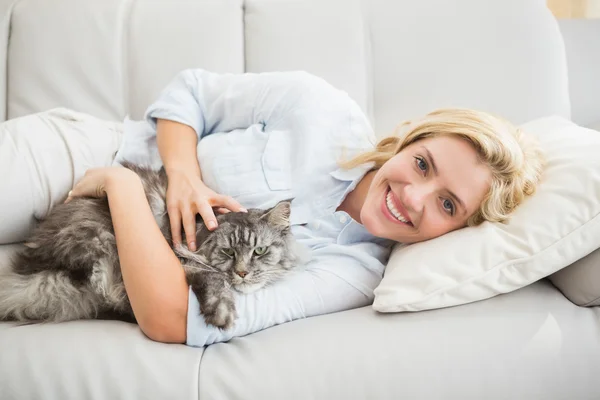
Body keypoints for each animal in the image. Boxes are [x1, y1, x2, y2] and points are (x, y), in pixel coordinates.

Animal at [0, 163, 302, 332]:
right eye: (228, 252)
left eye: (259, 251)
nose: (242, 273)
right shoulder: (183, 261)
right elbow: (214, 279)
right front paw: (221, 313)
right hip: (102, 244)